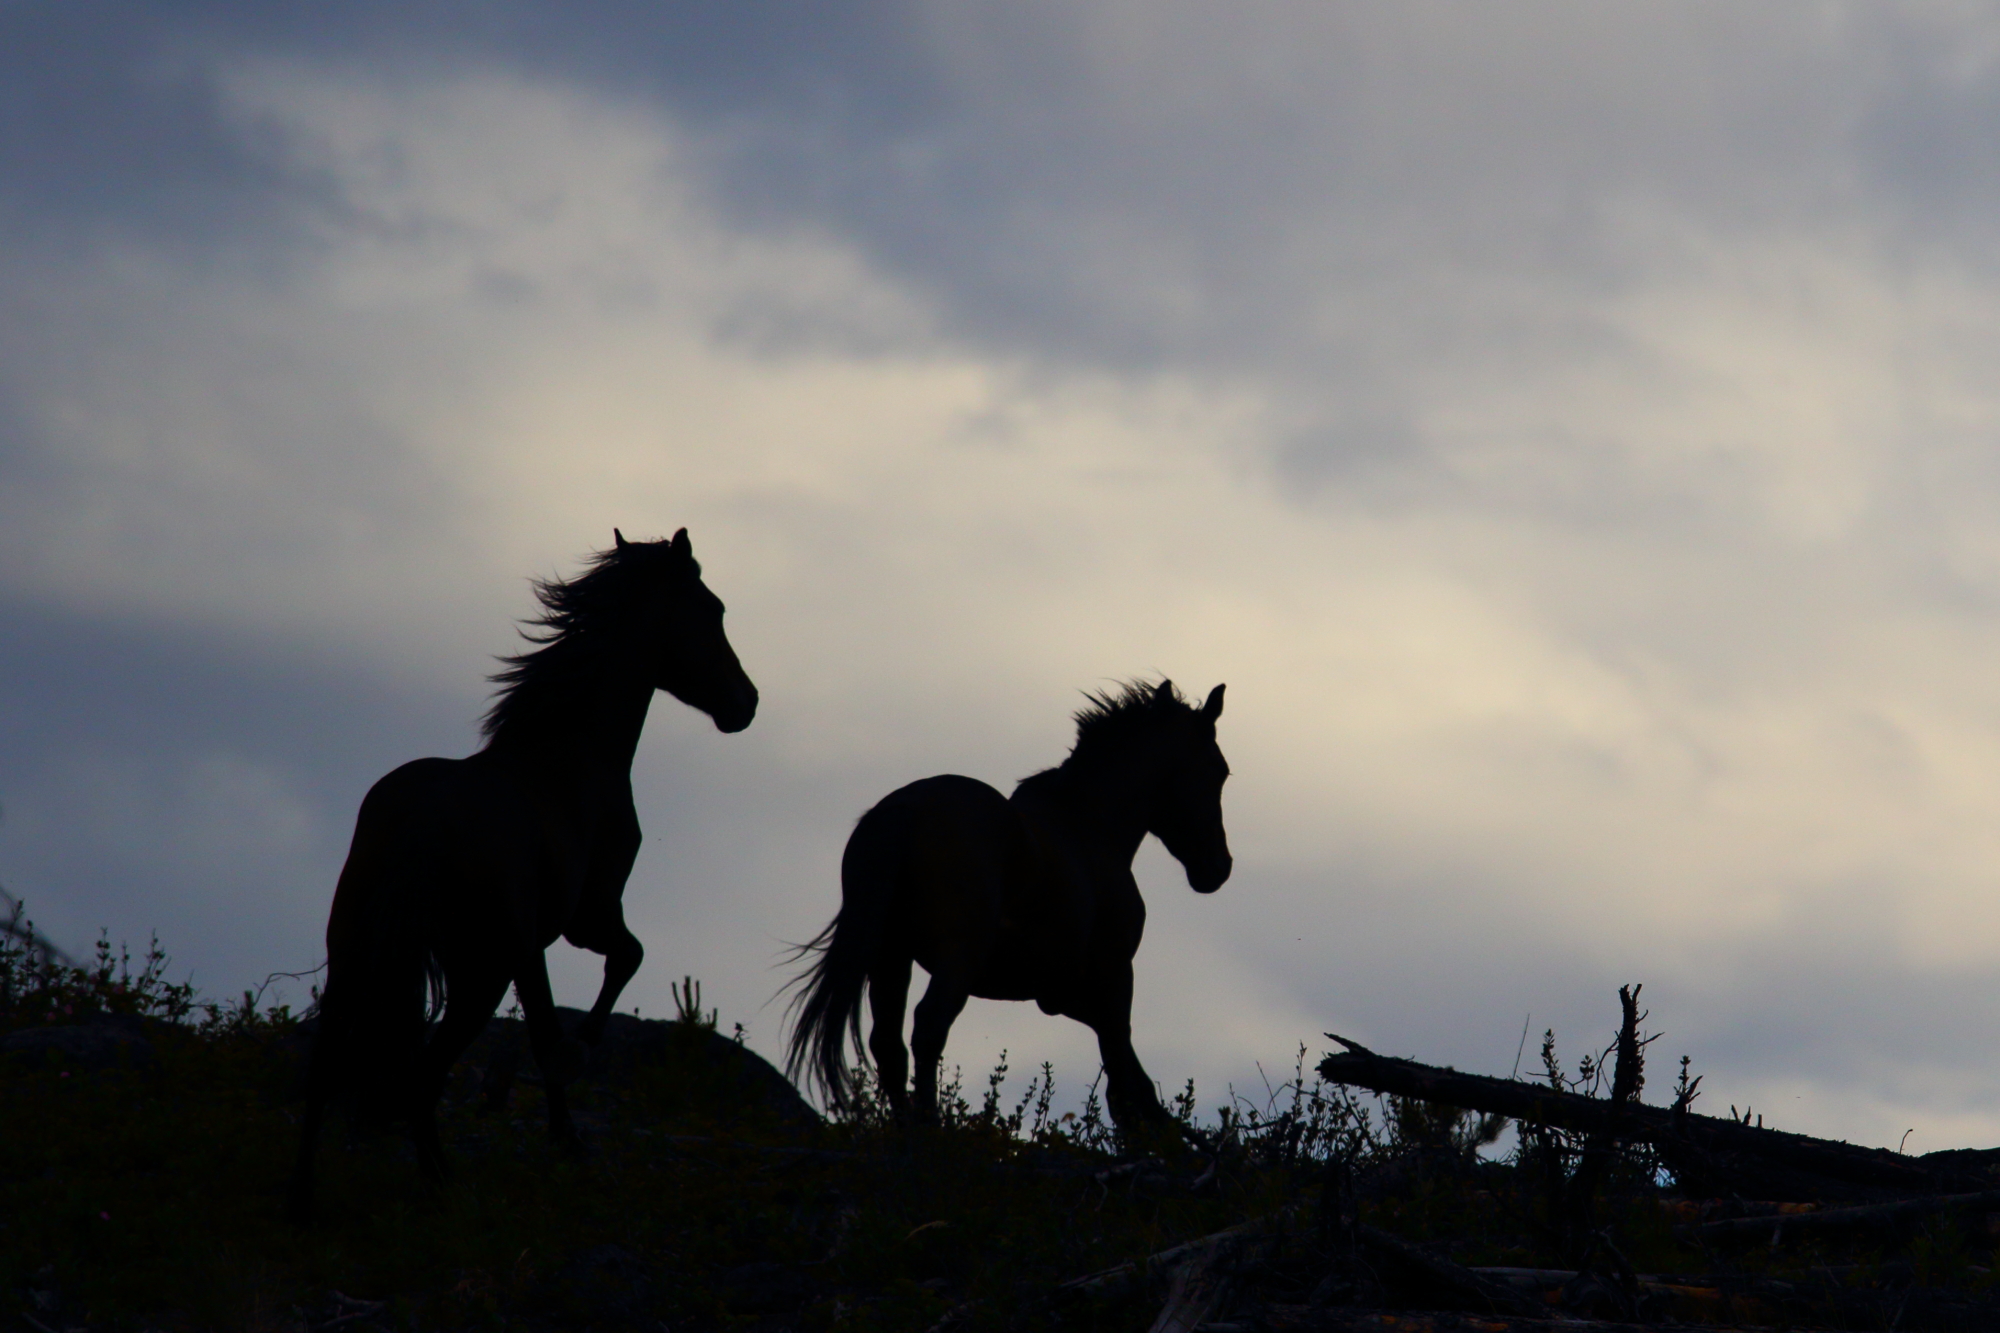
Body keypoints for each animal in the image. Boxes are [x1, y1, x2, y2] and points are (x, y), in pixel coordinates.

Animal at [282, 528, 752, 1216]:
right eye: (712, 608)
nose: (746, 703)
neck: (570, 756)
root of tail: (418, 822)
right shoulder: (589, 918)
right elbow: (621, 965)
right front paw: (579, 1061)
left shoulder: (532, 948)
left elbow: (543, 1026)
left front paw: (565, 1137)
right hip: (478, 972)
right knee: (422, 1074)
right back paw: (444, 1186)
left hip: (357, 956)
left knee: (326, 1071)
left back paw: (305, 1199)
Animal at [784, 680, 1224, 1128]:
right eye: (1219, 771)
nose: (1218, 868)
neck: (1088, 828)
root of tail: (904, 809)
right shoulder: (1114, 978)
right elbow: (1125, 1084)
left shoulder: (1064, 996)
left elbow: (1134, 1082)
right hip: (958, 958)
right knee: (929, 1028)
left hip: (890, 956)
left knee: (889, 1045)